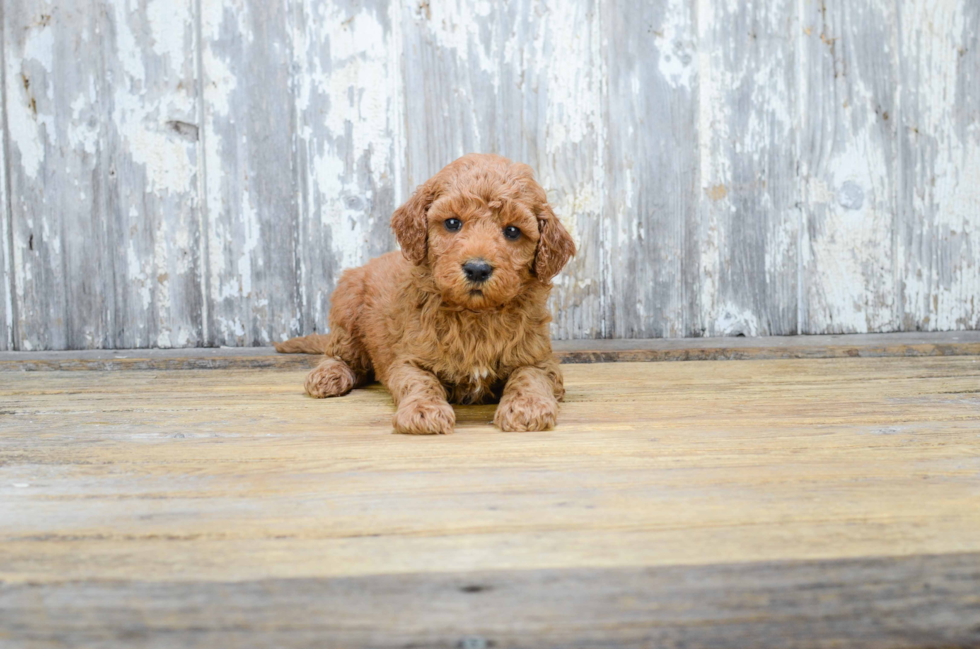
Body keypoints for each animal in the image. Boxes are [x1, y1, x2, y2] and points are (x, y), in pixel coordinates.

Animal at [276, 154, 576, 432]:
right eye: (452, 223)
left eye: (512, 231)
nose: (477, 269)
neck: (475, 315)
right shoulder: (409, 359)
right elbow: (420, 381)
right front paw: (423, 410)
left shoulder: (539, 357)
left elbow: (530, 376)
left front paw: (528, 405)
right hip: (347, 311)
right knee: (339, 355)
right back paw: (328, 376)